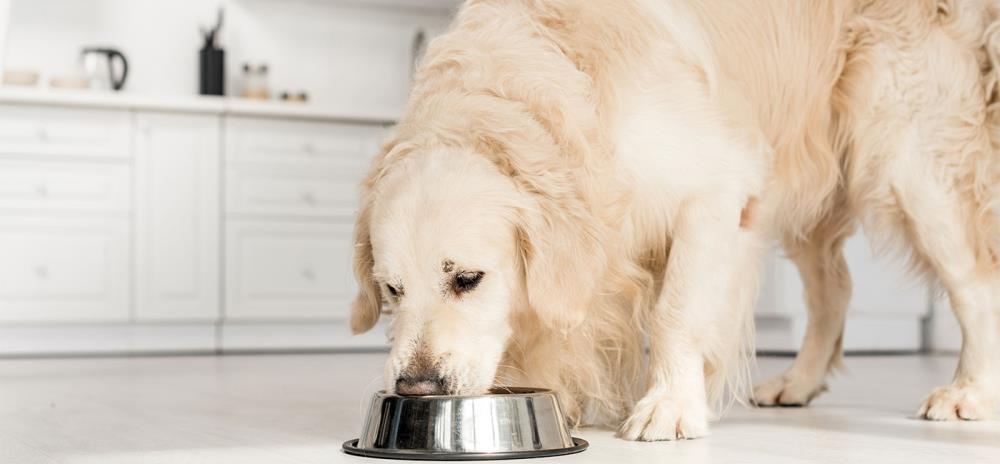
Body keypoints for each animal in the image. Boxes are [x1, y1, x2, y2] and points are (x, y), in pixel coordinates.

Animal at [350, 0, 1000, 440]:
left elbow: (676, 314)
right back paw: (798, 382)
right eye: (392, 290)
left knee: (973, 284)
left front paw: (669, 406)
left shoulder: (716, 189)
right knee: (834, 291)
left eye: (468, 279)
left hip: (907, 159)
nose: (414, 387)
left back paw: (969, 392)